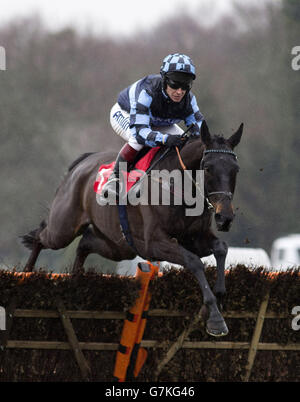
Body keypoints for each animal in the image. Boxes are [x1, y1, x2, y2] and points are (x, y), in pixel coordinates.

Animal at [21, 120, 244, 336]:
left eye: (236, 169)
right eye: (207, 167)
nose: (225, 217)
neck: (178, 186)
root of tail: (83, 162)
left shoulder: (193, 237)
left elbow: (221, 248)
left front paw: (218, 299)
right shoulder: (154, 243)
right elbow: (194, 261)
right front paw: (215, 318)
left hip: (119, 246)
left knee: (85, 242)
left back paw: (76, 281)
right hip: (63, 228)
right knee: (41, 236)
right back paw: (26, 276)